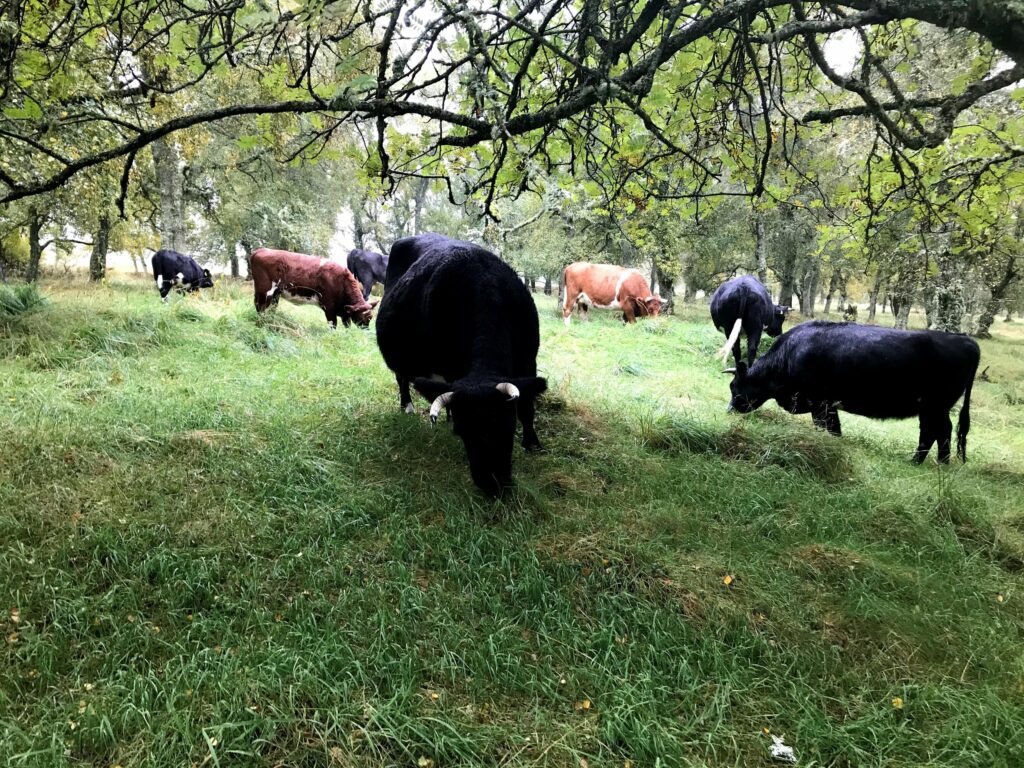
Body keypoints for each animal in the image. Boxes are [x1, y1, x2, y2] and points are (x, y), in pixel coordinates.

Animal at [249, 249, 378, 327]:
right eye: (361, 317)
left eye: (370, 317)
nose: (366, 330)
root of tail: (261, 250)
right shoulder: (329, 308)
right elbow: (333, 325)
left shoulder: (345, 313)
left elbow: (347, 326)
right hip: (266, 291)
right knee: (261, 308)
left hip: (273, 293)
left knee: (268, 308)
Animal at [376, 231, 548, 495]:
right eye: (462, 432)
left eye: (508, 426)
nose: (493, 486)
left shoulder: (528, 359)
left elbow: (527, 406)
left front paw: (532, 443)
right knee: (402, 378)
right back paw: (407, 406)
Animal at [724, 323, 978, 466]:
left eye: (734, 387)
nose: (729, 410)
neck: (788, 356)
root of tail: (965, 339)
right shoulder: (827, 404)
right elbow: (833, 429)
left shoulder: (820, 403)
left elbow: (829, 428)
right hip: (931, 408)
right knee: (936, 432)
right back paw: (937, 463)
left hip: (935, 406)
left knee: (937, 431)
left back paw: (927, 462)